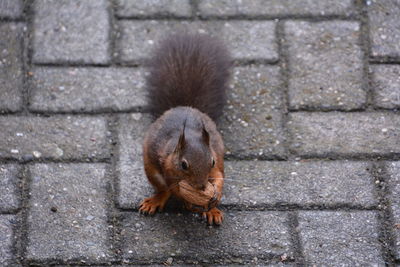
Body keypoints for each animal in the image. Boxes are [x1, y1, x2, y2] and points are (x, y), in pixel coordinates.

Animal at [140, 33, 231, 226]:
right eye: (183, 164)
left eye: (212, 161)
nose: (202, 186)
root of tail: (182, 106)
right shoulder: (166, 164)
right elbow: (174, 188)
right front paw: (187, 199)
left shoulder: (216, 159)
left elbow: (219, 176)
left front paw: (216, 195)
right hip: (150, 169)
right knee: (164, 191)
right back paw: (157, 201)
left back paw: (211, 210)